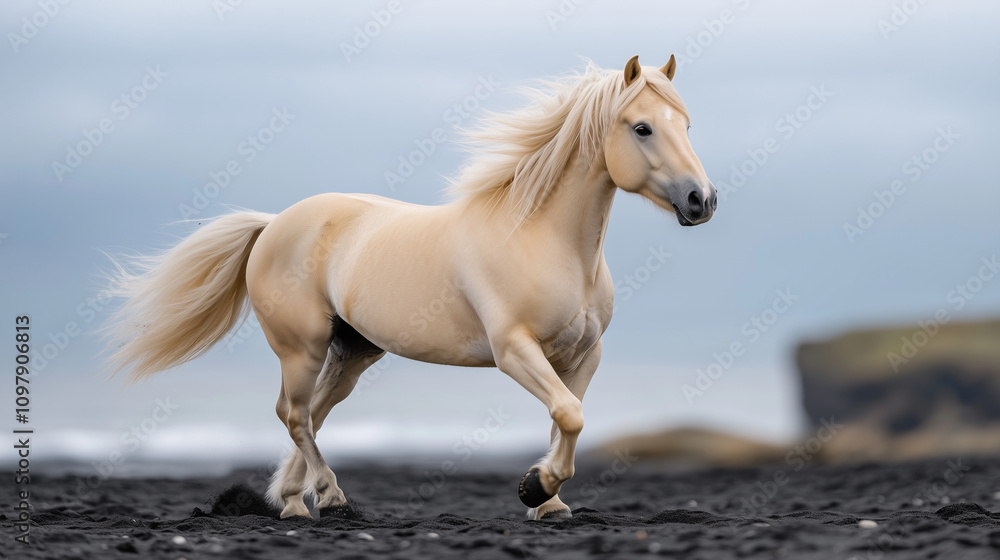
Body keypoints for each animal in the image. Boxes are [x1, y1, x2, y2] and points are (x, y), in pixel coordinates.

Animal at [105, 54, 716, 520]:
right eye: (641, 127)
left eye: (686, 126)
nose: (702, 201)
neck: (545, 241)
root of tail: (275, 223)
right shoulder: (514, 350)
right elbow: (569, 416)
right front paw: (535, 490)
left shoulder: (583, 355)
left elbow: (563, 420)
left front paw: (548, 503)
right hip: (301, 348)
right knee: (295, 414)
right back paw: (324, 499)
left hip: (354, 352)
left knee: (314, 412)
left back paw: (293, 499)